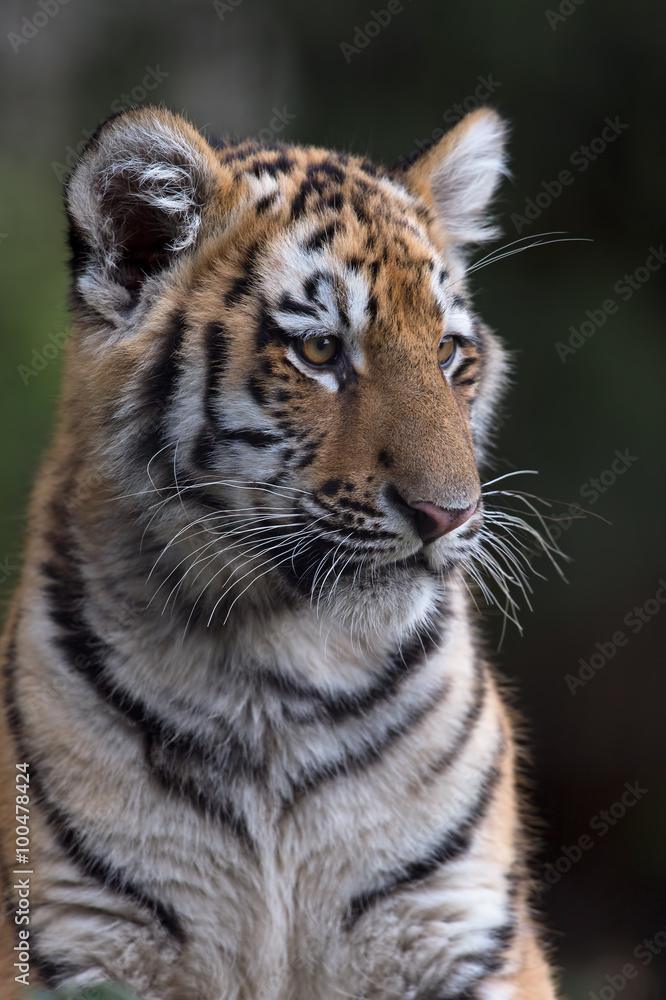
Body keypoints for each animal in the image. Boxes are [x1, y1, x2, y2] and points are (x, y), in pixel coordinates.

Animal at [0, 105, 562, 999]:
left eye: (448, 353)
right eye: (321, 351)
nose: (449, 514)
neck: (272, 672)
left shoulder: (458, 929)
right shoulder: (77, 936)